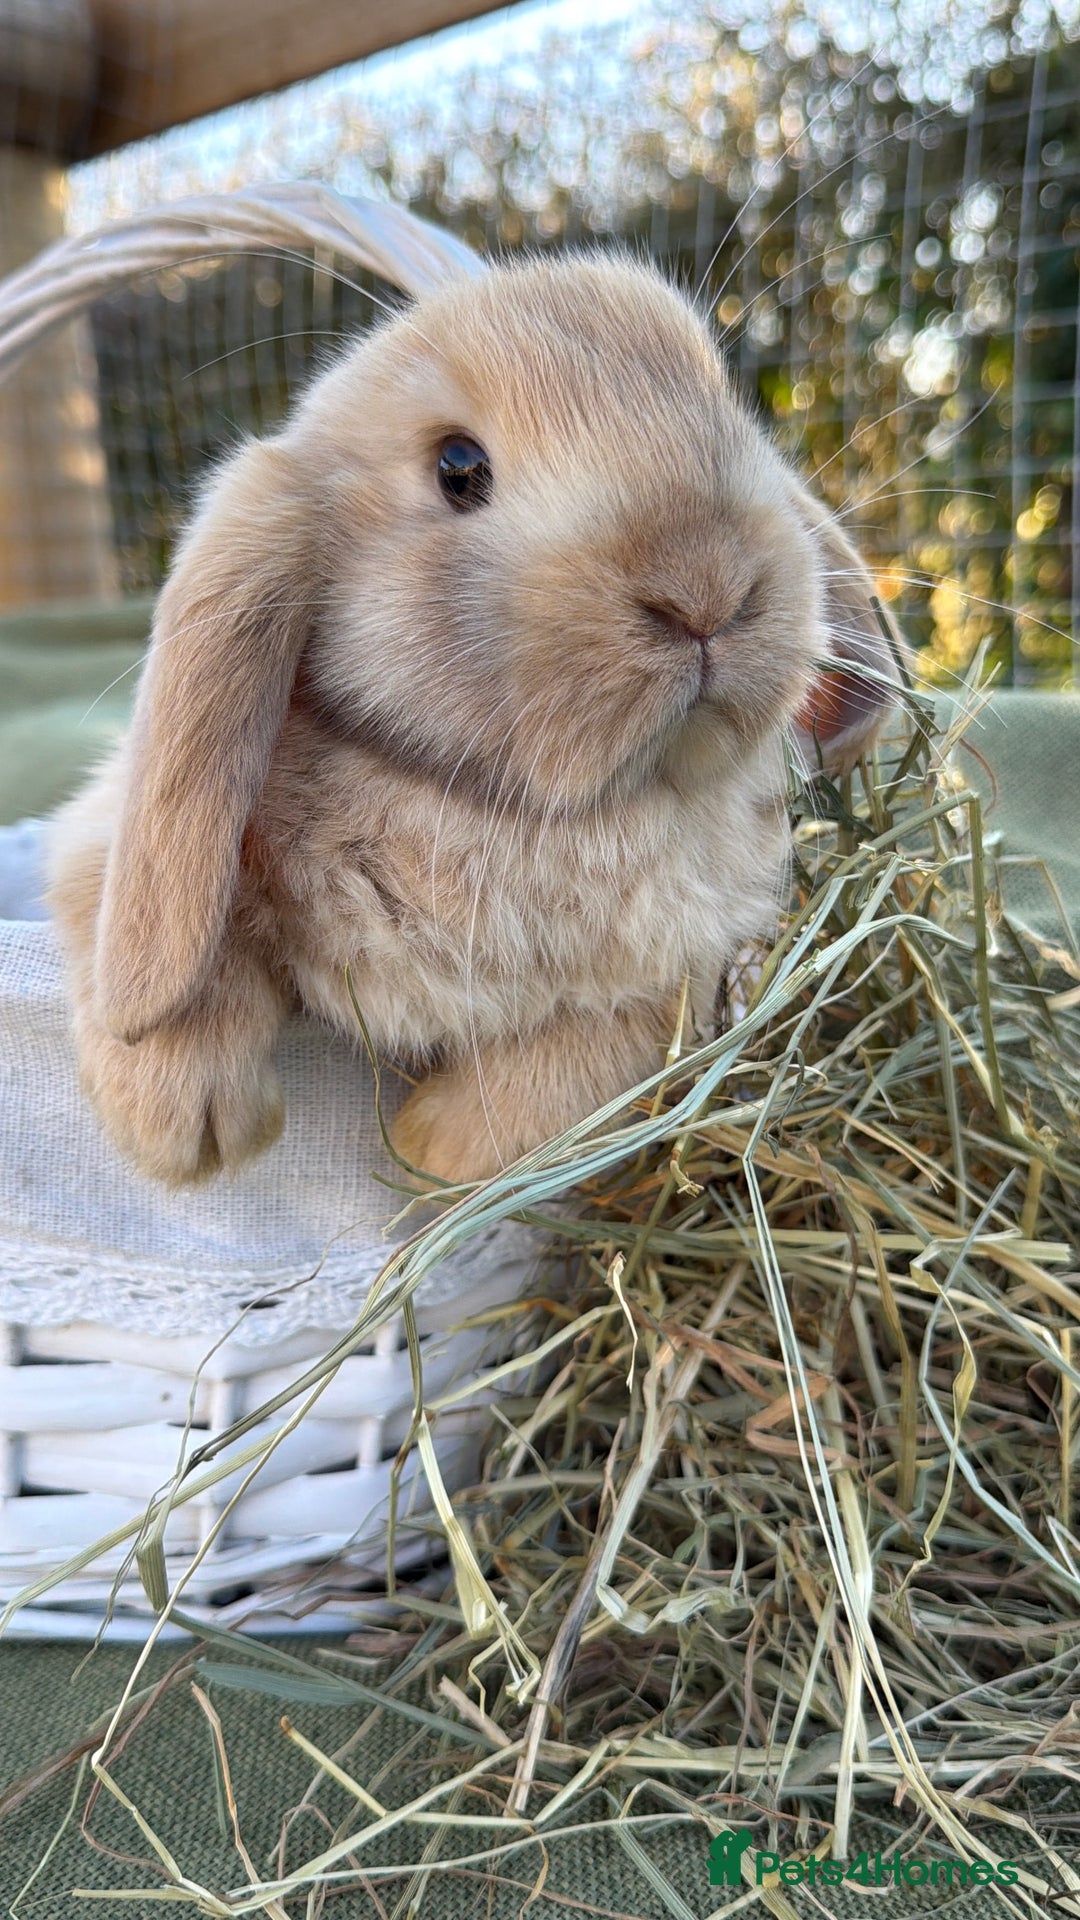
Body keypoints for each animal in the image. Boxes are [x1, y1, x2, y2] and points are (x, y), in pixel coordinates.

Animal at [47, 251, 899, 1189]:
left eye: (728, 412)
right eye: (459, 467)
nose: (706, 586)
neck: (497, 807)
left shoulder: (679, 981)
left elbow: (576, 1064)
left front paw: (429, 1151)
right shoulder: (108, 845)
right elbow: (178, 954)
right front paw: (182, 1127)